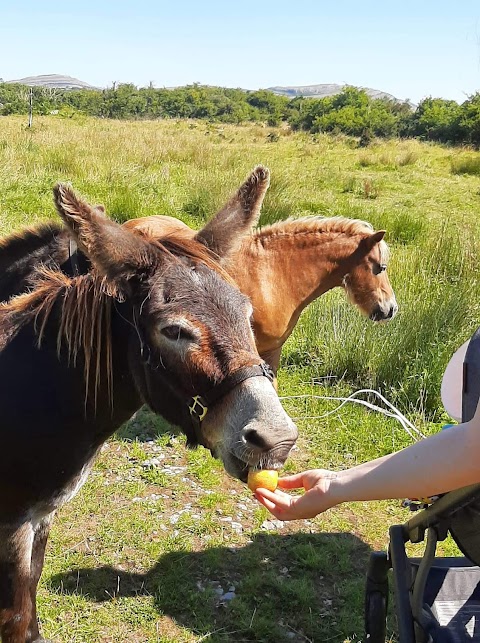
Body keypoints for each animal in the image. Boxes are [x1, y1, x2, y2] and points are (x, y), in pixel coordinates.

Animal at [0, 172, 296, 643]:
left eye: (247, 314)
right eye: (173, 331)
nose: (277, 439)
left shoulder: (40, 519)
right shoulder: (12, 525)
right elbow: (17, 620)